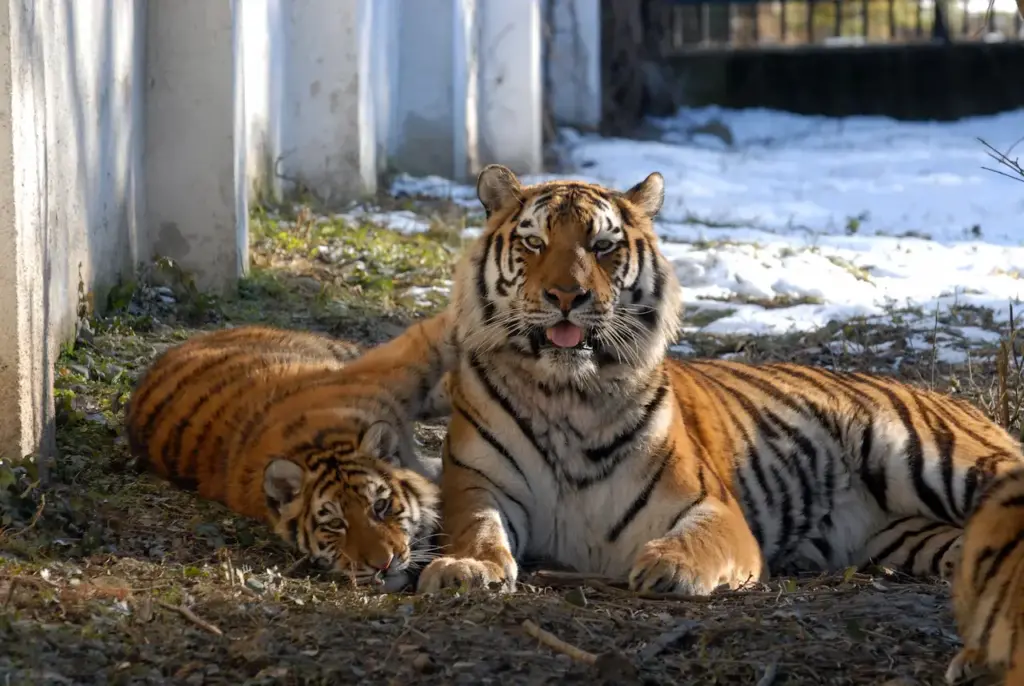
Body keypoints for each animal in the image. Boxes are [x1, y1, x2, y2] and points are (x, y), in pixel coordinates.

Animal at [415, 164, 1024, 597]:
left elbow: (700, 539)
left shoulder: (710, 505)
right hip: (912, 536)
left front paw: (670, 565)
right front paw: (463, 568)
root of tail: (959, 403)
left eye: (603, 246)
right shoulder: (477, 486)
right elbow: (478, 530)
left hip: (938, 459)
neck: (568, 394)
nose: (568, 296)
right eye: (535, 243)